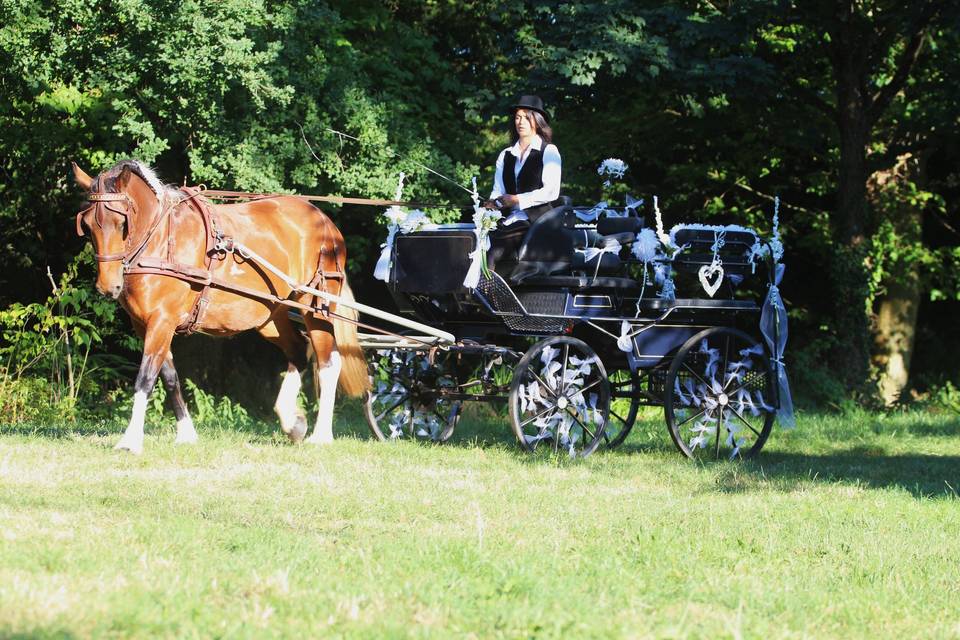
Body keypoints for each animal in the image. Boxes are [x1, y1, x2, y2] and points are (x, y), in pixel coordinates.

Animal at [71, 159, 370, 456]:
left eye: (121, 221)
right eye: (86, 225)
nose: (107, 286)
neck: (160, 240)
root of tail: (326, 222)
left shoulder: (162, 320)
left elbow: (146, 377)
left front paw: (130, 441)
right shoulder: (145, 325)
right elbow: (169, 376)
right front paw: (186, 434)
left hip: (315, 305)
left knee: (328, 361)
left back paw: (321, 435)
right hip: (271, 314)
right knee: (298, 350)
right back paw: (291, 421)